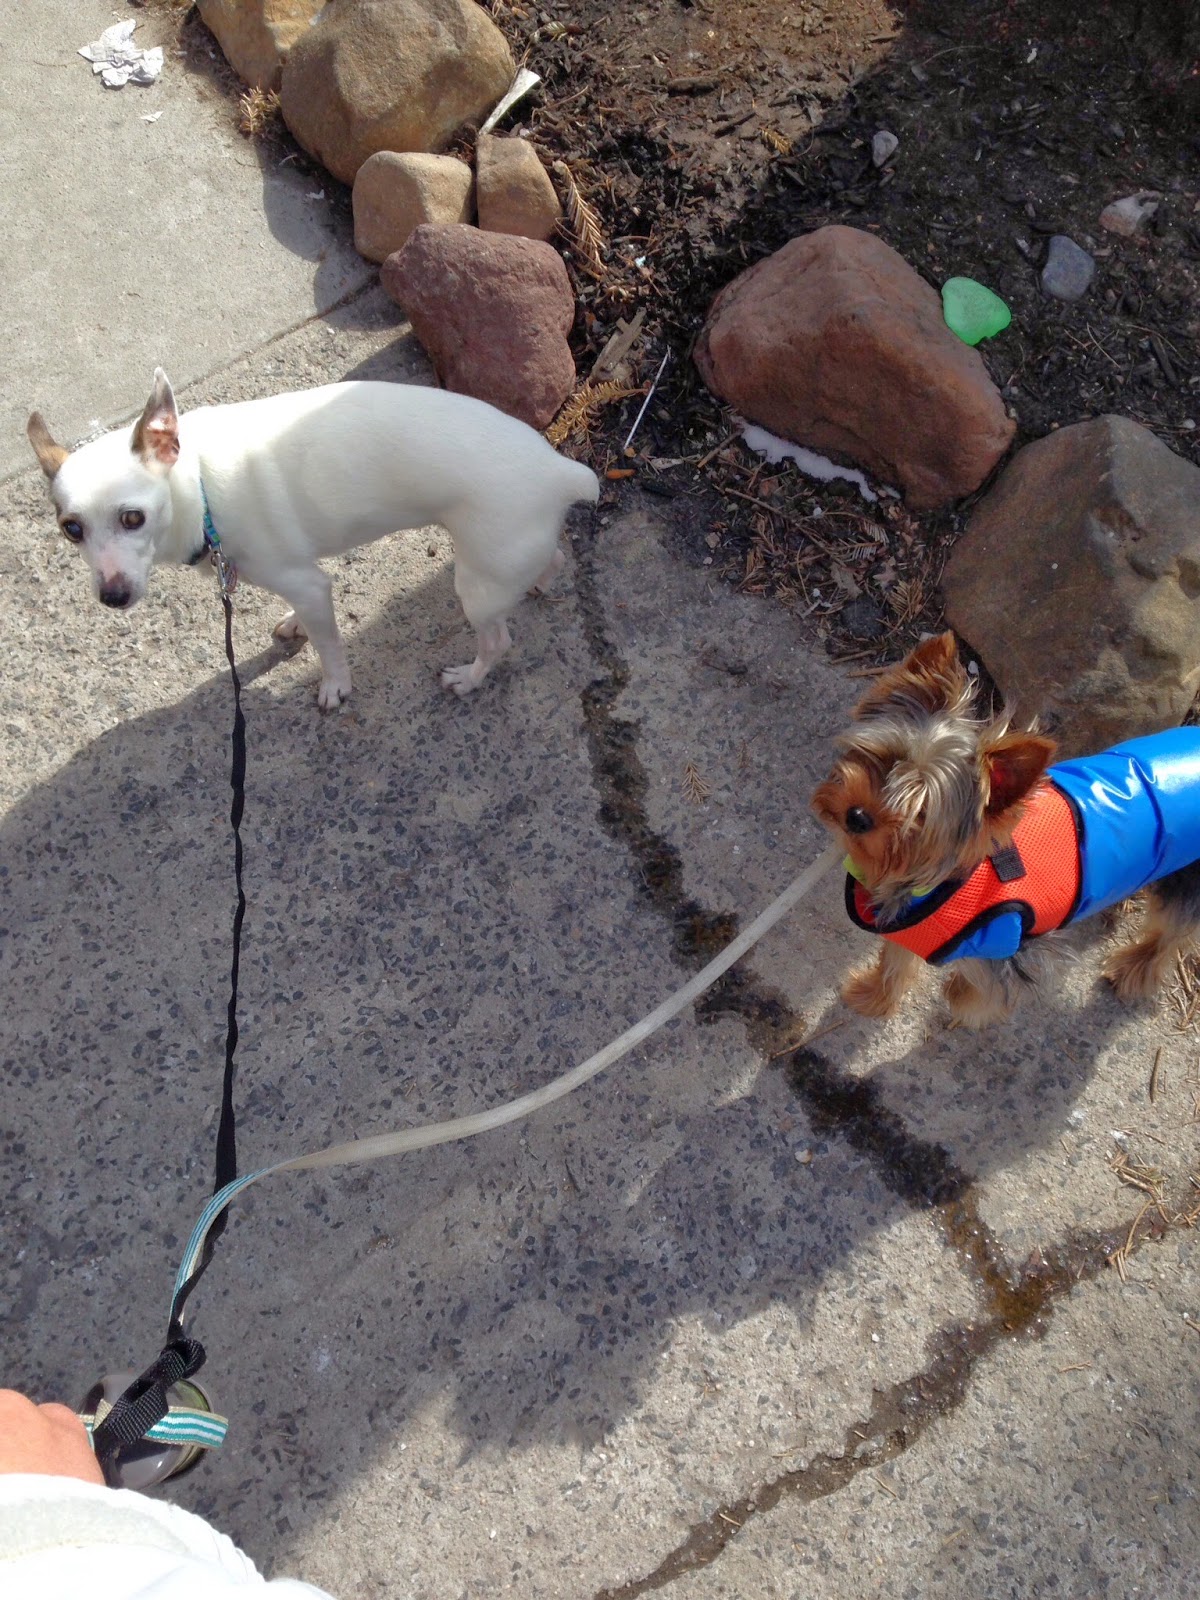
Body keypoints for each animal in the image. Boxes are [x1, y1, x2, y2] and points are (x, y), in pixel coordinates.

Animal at [30, 374, 601, 707]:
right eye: (71, 529)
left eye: (133, 518)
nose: (113, 596)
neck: (199, 482)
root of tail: (560, 470)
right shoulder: (298, 581)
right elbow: (306, 621)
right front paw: (293, 627)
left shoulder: (307, 584)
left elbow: (329, 646)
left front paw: (335, 686)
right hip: (502, 557)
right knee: (550, 559)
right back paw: (540, 583)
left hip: (475, 587)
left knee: (497, 641)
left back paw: (470, 677)